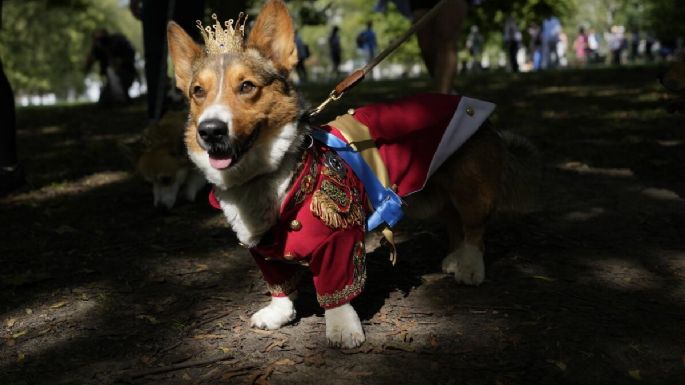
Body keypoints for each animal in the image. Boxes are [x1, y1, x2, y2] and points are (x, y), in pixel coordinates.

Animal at [167, 0, 536, 348]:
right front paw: (277, 314)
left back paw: (470, 267)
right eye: (197, 92)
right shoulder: (262, 250)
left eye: (246, 86)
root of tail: (481, 113)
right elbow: (279, 287)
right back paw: (455, 260)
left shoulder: (340, 240)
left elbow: (337, 291)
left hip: (470, 189)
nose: (209, 131)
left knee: (474, 228)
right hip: (435, 194)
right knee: (453, 222)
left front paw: (343, 330)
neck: (267, 175)